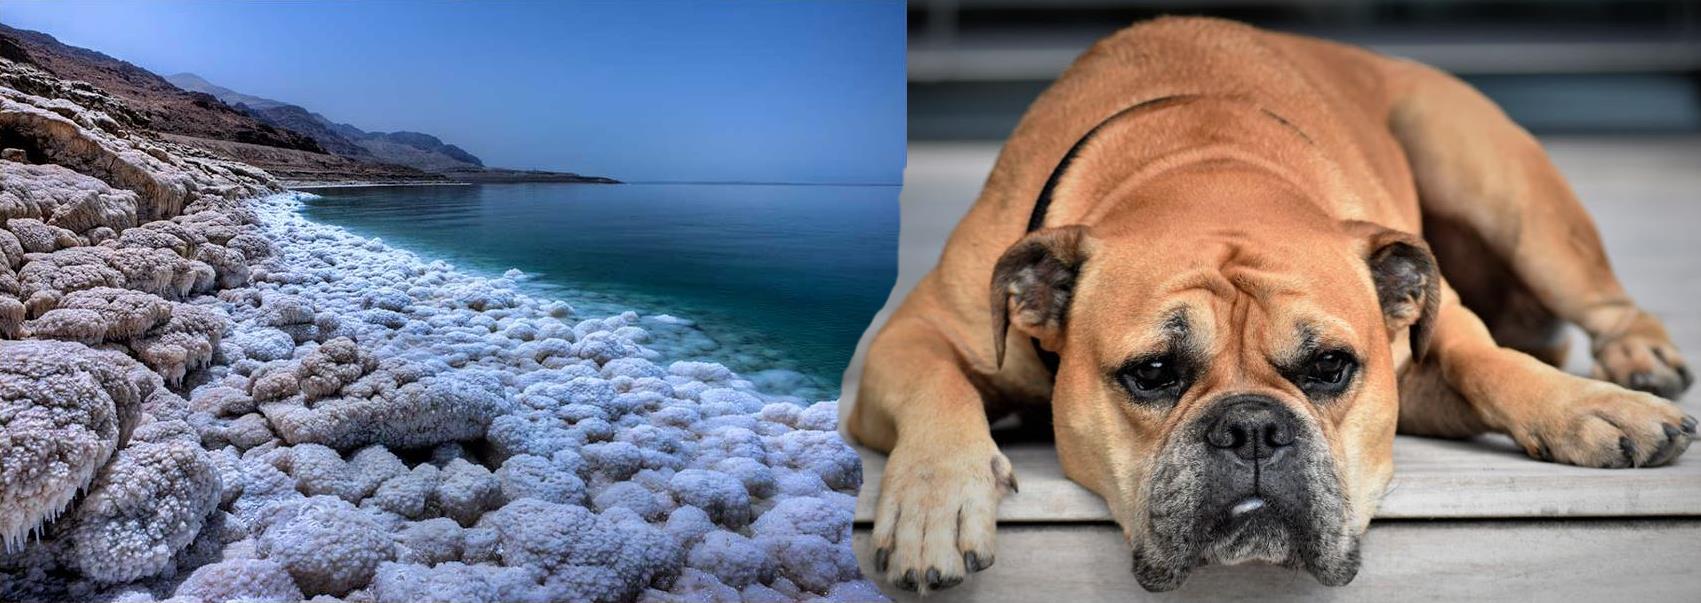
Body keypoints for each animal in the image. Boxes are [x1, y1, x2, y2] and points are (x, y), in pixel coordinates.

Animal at [843, 17, 1694, 592]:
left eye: (1330, 366)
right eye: (1151, 372)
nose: (1251, 426)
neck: (1203, 165)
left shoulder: (1431, 335)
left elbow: (1486, 359)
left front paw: (1587, 406)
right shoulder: (910, 335)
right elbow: (937, 385)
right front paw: (934, 500)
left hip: (1502, 187)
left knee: (1598, 301)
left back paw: (1636, 361)